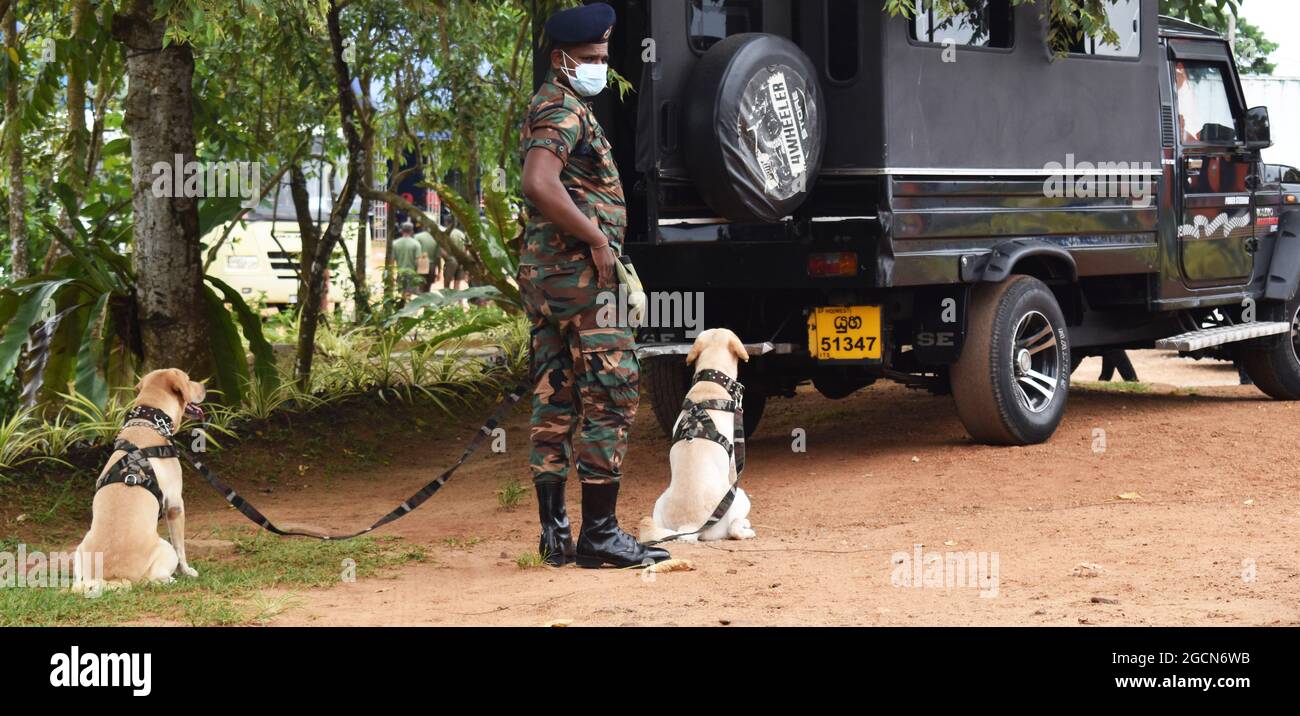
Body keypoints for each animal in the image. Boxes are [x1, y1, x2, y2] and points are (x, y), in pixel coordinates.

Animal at [72, 369, 205, 595]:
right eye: (189, 380)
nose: (204, 386)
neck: (151, 422)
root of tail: (116, 578)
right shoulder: (175, 505)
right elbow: (181, 548)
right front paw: (186, 571)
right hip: (164, 547)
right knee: (154, 578)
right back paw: (170, 579)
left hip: (79, 549)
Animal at [637, 330, 759, 543]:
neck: (709, 383)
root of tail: (690, 526)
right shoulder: (733, 464)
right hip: (740, 497)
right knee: (734, 530)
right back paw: (746, 528)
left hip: (658, 505)